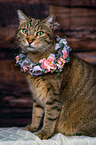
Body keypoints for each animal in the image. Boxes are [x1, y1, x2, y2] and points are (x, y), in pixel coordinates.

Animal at [16, 10, 96, 139]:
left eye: (40, 33)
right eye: (25, 31)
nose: (30, 40)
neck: (36, 59)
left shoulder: (53, 95)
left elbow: (49, 116)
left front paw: (44, 133)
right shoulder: (36, 93)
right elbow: (36, 112)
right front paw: (33, 127)